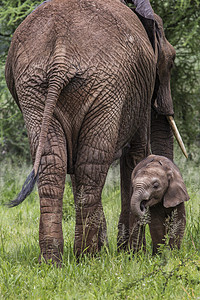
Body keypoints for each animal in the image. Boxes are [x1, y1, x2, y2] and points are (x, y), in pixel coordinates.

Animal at [5, 0, 186, 262]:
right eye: (171, 62)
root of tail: (60, 52)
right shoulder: (139, 96)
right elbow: (136, 156)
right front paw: (132, 255)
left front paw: (122, 252)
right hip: (105, 87)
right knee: (91, 164)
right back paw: (87, 257)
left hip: (34, 88)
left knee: (56, 163)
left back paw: (53, 261)